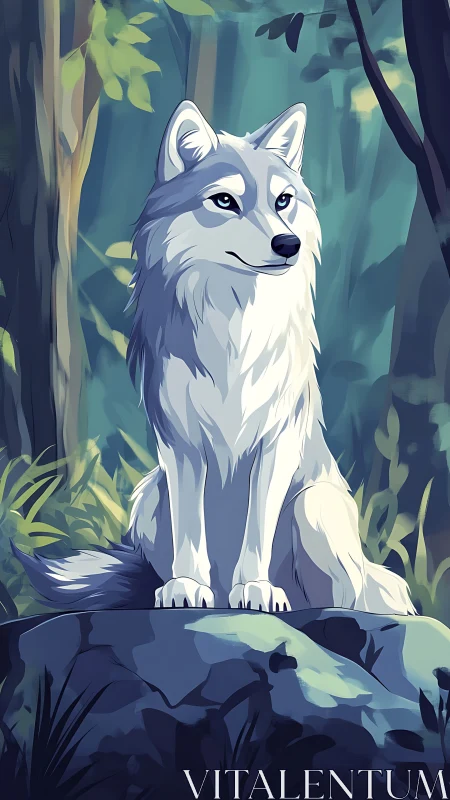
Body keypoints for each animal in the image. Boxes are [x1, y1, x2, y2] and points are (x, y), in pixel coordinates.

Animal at [16, 100, 414, 614]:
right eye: (224, 201)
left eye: (283, 201)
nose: (288, 244)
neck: (233, 326)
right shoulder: (181, 445)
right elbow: (191, 530)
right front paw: (186, 587)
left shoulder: (276, 440)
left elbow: (257, 528)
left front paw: (258, 590)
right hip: (150, 498)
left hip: (314, 507)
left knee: (344, 595)